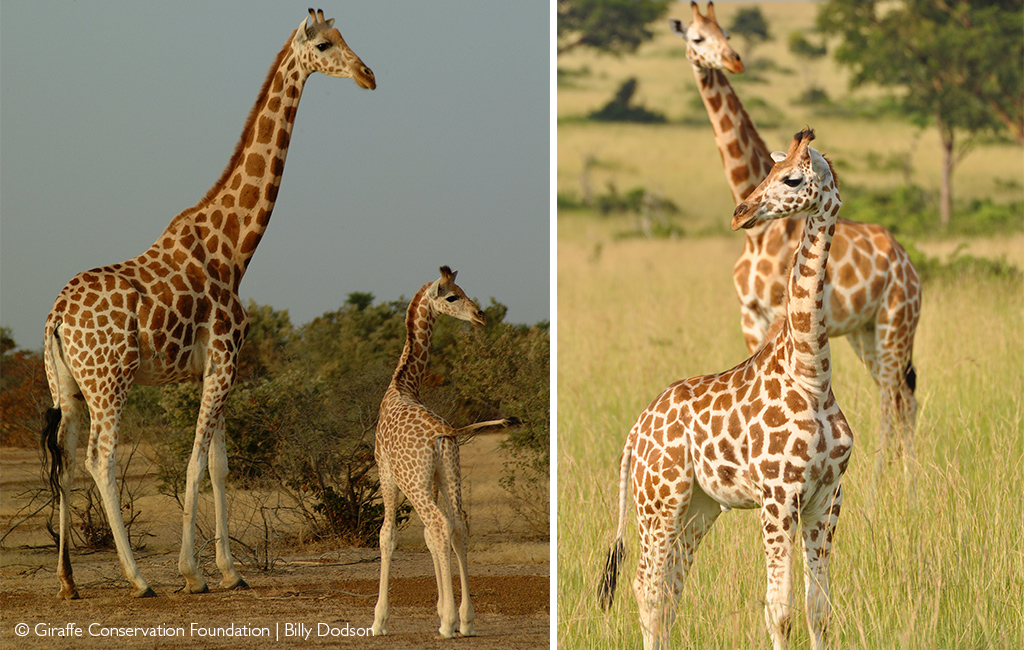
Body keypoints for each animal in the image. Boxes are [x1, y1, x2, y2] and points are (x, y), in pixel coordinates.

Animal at [39, 9, 375, 600]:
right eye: (324, 44)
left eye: (344, 38)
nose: (367, 75)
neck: (234, 248)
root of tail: (56, 317)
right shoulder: (224, 357)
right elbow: (196, 464)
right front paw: (192, 573)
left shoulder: (215, 366)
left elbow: (219, 464)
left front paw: (230, 570)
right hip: (111, 380)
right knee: (100, 458)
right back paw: (138, 579)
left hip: (67, 385)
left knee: (66, 459)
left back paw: (68, 581)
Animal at [372, 266, 521, 639]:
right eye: (453, 296)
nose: (480, 315)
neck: (402, 384)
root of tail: (445, 432)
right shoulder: (435, 478)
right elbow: (429, 536)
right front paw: (443, 608)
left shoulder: (386, 472)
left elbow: (388, 535)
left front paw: (379, 620)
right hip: (450, 473)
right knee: (457, 526)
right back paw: (465, 620)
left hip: (414, 482)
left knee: (440, 525)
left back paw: (450, 622)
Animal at [599, 129, 853, 650]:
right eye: (767, 171)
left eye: (791, 178)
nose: (741, 212)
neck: (812, 374)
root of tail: (634, 434)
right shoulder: (778, 497)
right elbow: (780, 612)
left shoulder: (827, 498)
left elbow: (818, 611)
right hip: (658, 501)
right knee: (646, 585)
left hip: (699, 506)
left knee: (670, 587)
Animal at [671, 2, 921, 472]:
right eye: (696, 37)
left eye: (725, 31)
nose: (734, 60)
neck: (756, 238)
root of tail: (907, 261)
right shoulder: (749, 315)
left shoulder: (773, 311)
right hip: (865, 333)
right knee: (901, 397)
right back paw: (906, 472)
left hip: (896, 324)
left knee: (894, 394)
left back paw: (889, 474)